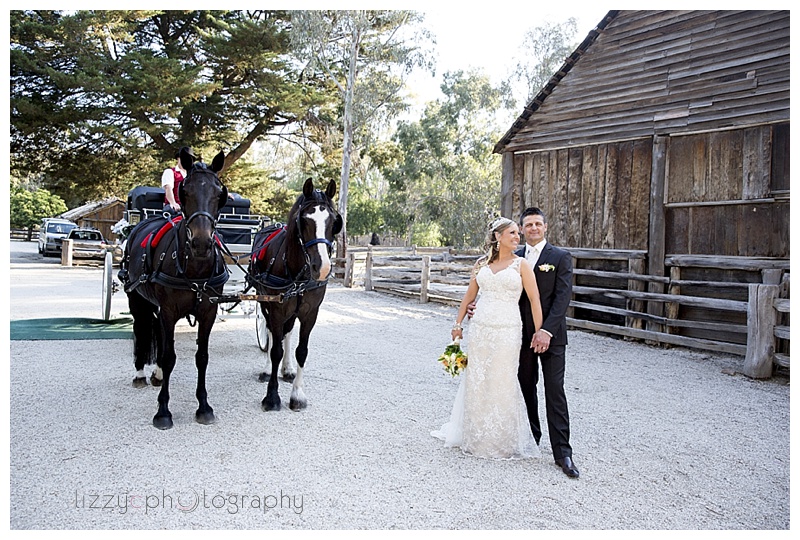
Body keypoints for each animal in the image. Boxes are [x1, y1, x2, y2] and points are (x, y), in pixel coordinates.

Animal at [120, 150, 230, 428]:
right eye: (185, 191)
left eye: (219, 193)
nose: (201, 243)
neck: (195, 267)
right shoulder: (168, 310)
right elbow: (170, 357)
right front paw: (163, 410)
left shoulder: (208, 312)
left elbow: (202, 357)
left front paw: (203, 406)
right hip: (137, 300)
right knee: (141, 328)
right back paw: (140, 373)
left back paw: (156, 374)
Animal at [247, 176, 340, 410]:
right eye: (305, 220)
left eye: (333, 221)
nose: (322, 268)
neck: (297, 270)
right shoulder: (276, 308)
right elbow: (275, 350)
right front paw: (272, 396)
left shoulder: (310, 313)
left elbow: (301, 351)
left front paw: (297, 393)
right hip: (265, 304)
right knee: (272, 333)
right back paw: (267, 369)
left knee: (287, 332)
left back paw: (287, 369)